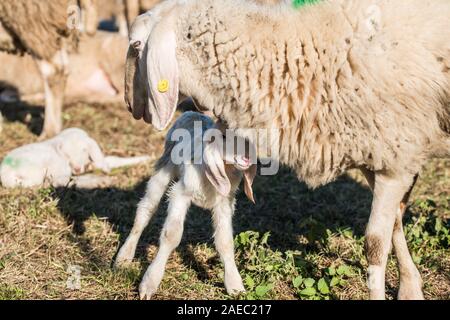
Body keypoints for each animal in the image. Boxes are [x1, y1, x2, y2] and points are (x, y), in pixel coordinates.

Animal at [0, 127, 151, 188]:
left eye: (84, 150)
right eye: (66, 154)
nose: (78, 169)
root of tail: (6, 176)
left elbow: (112, 160)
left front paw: (146, 158)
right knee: (60, 182)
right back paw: (101, 182)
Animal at [113, 112, 256, 300]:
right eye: (223, 136)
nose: (247, 158)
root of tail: (193, 112)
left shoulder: (224, 203)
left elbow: (225, 241)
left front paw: (234, 285)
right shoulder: (180, 194)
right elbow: (171, 235)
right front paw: (149, 283)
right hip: (164, 166)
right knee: (146, 210)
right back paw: (124, 258)